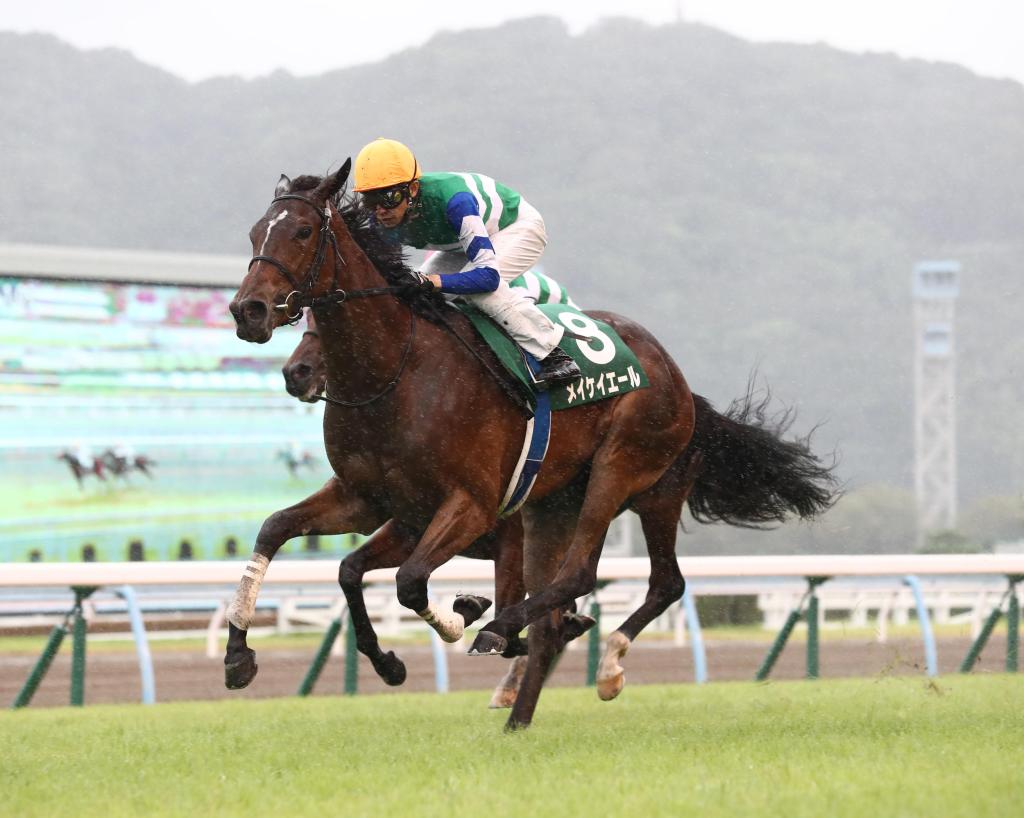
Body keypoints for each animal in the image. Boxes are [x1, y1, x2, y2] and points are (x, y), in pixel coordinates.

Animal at [228, 162, 837, 729]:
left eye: (303, 231)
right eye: (256, 232)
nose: (248, 311)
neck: (397, 371)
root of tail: (678, 379)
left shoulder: (471, 506)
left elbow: (409, 582)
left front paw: (465, 615)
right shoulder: (377, 502)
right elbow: (304, 545)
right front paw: (247, 656)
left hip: (628, 472)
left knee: (596, 578)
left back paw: (540, 644)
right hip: (557, 506)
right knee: (605, 598)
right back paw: (520, 714)